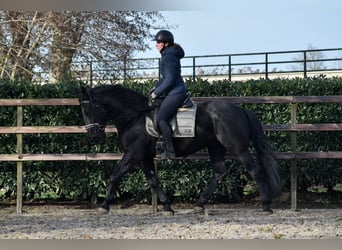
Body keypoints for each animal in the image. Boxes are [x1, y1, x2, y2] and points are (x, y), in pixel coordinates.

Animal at [79, 85, 282, 214]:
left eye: (89, 109)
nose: (94, 136)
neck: (134, 116)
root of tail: (241, 110)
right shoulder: (144, 157)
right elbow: (153, 180)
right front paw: (168, 207)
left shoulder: (133, 154)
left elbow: (115, 175)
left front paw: (104, 205)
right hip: (215, 147)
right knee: (219, 172)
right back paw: (199, 204)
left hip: (238, 148)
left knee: (254, 170)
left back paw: (266, 206)